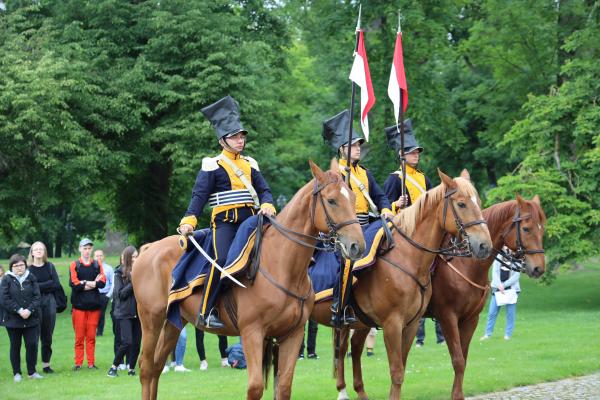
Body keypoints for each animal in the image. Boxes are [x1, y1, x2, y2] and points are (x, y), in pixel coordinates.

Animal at [131, 159, 366, 400]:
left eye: (353, 197)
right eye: (331, 200)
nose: (357, 245)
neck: (282, 266)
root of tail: (149, 248)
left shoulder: (292, 334)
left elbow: (283, 387)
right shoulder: (252, 333)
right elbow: (255, 388)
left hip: (173, 322)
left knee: (157, 367)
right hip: (151, 320)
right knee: (146, 367)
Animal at [310, 170, 492, 400]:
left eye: (478, 202)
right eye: (461, 204)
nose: (484, 245)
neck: (408, 257)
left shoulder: (413, 324)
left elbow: (403, 369)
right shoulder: (395, 324)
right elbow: (397, 371)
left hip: (358, 322)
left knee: (351, 348)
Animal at [426, 193, 544, 396]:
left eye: (542, 228)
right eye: (526, 228)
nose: (539, 268)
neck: (464, 263)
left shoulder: (470, 319)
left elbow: (463, 360)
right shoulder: (447, 317)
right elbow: (458, 360)